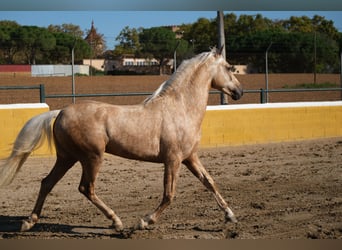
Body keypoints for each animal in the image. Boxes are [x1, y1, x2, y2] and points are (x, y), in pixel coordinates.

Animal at [0, 46, 242, 231]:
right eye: (229, 67)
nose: (239, 92)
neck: (180, 108)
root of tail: (60, 112)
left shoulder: (190, 157)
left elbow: (209, 182)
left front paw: (231, 216)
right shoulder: (172, 160)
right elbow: (169, 195)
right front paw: (144, 222)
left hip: (67, 157)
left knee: (47, 183)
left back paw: (29, 222)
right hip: (91, 157)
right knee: (86, 188)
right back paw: (117, 222)